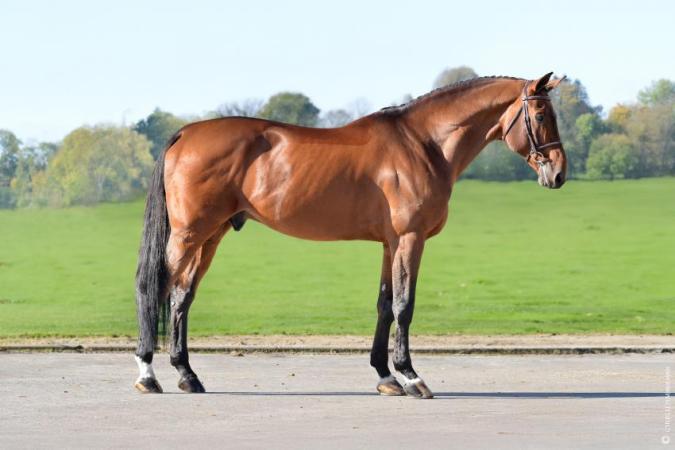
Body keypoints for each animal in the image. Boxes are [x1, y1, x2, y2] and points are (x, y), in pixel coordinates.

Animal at [134, 72, 567, 399]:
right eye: (540, 113)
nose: (559, 173)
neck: (423, 143)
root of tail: (185, 134)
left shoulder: (390, 244)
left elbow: (384, 304)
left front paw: (386, 377)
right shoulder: (410, 238)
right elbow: (404, 306)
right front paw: (412, 377)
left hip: (211, 235)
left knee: (182, 296)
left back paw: (187, 375)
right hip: (189, 234)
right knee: (153, 287)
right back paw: (147, 375)